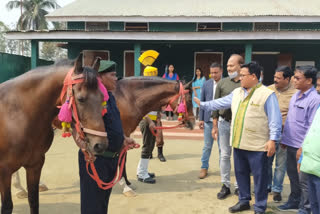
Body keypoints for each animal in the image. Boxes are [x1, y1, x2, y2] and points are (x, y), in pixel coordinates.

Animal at [0, 54, 108, 213]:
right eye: (81, 99)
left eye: (102, 98)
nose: (100, 145)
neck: (17, 114)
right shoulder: (5, 170)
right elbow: (7, 206)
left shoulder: (35, 164)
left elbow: (34, 200)